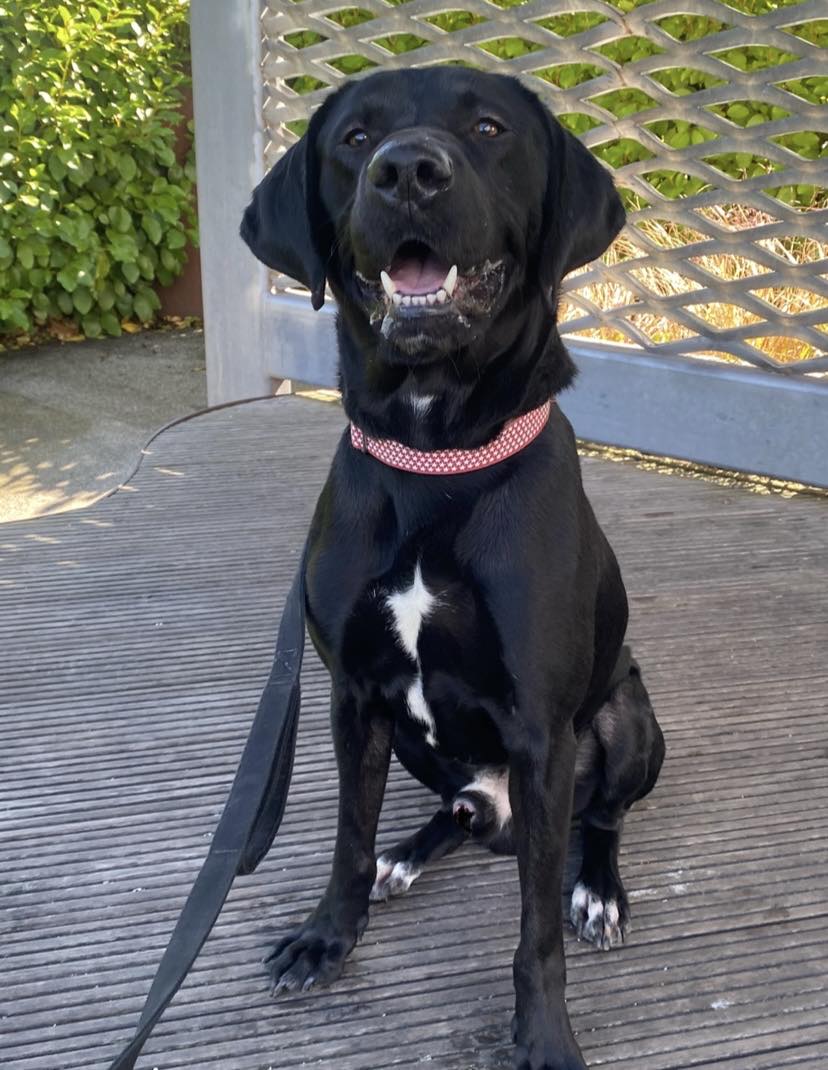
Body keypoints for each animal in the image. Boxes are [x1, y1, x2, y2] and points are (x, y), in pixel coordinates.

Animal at [241, 66, 667, 1070]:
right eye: (354, 139)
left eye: (488, 128)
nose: (408, 172)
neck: (434, 461)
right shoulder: (354, 697)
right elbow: (348, 837)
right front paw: (329, 935)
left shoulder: (544, 734)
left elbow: (536, 930)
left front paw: (544, 1034)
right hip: (413, 738)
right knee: (456, 811)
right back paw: (413, 849)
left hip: (629, 722)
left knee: (601, 822)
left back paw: (600, 889)